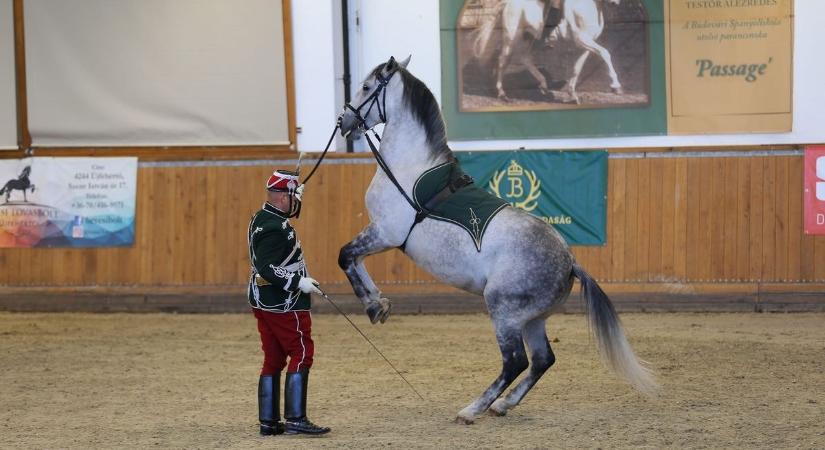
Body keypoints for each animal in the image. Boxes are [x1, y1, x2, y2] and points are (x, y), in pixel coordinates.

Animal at [338, 54, 652, 424]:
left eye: (366, 87)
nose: (344, 121)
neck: (409, 168)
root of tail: (570, 263)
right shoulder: (381, 234)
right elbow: (354, 258)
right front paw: (379, 303)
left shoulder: (385, 232)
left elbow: (346, 255)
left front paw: (373, 306)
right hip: (532, 319)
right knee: (543, 360)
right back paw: (503, 405)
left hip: (504, 310)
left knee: (515, 361)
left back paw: (473, 409)